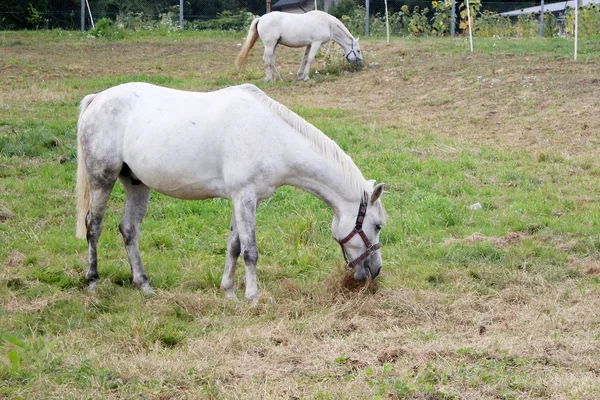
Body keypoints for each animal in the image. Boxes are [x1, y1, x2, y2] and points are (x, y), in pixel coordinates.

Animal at [75, 83, 386, 304]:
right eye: (378, 225)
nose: (376, 270)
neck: (272, 137)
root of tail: (97, 99)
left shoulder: (244, 200)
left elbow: (234, 247)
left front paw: (228, 292)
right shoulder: (244, 198)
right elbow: (250, 252)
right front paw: (253, 297)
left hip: (137, 184)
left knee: (129, 230)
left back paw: (144, 285)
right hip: (102, 179)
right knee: (94, 227)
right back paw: (93, 282)